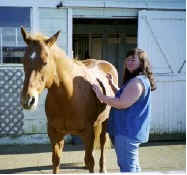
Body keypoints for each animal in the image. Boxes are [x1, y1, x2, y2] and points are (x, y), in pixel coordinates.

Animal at [19, 27, 117, 174]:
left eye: (45, 62)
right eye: (23, 61)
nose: (27, 99)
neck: (69, 96)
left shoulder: (89, 133)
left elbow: (91, 161)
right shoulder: (55, 133)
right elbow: (56, 161)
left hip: (105, 121)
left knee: (103, 141)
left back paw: (103, 168)